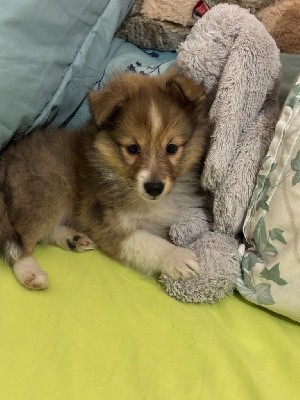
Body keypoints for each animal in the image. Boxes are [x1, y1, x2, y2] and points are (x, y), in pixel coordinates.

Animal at [0, 70, 210, 290]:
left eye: (171, 148)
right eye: (133, 148)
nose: (154, 187)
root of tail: (8, 153)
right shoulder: (108, 225)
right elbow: (147, 241)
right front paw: (177, 256)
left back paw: (72, 239)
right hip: (50, 191)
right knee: (21, 240)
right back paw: (31, 272)